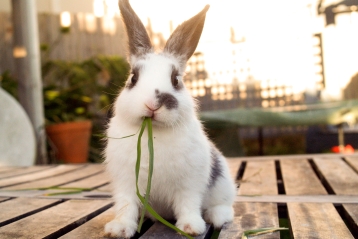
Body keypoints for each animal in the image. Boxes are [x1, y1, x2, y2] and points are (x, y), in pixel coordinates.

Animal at [104, 0, 238, 237]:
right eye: (133, 78)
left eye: (176, 80)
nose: (153, 104)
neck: (154, 133)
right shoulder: (125, 184)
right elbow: (126, 206)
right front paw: (118, 229)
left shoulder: (190, 183)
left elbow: (188, 204)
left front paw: (191, 228)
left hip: (223, 185)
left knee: (224, 206)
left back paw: (216, 216)